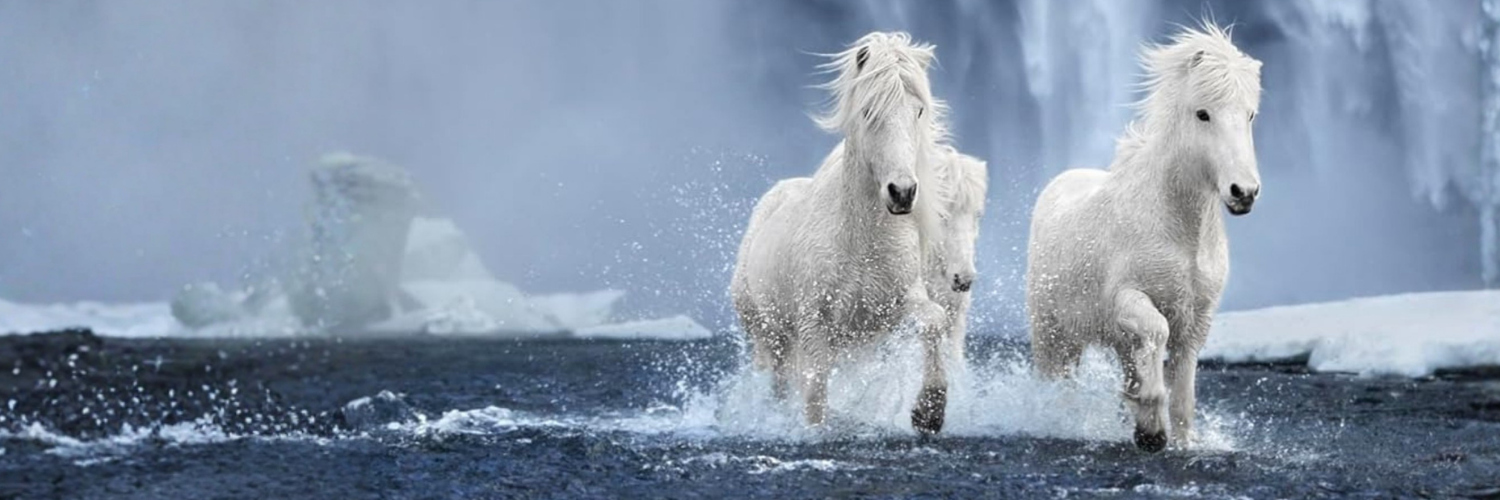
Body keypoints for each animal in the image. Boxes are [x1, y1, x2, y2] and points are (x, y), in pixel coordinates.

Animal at [730, 32, 953, 433]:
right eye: (868, 111)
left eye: (918, 111)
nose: (902, 192)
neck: (861, 242)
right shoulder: (813, 323)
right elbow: (815, 391)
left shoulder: (893, 306)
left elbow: (934, 321)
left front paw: (929, 411)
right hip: (769, 333)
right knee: (778, 381)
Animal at [1025, 23, 1262, 452]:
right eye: (1203, 113)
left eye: (1250, 114)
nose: (1244, 192)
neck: (1180, 232)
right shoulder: (1127, 298)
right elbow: (1157, 331)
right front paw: (1151, 426)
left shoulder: (1197, 318)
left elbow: (1183, 386)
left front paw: (1174, 436)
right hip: (1052, 332)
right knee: (1056, 378)